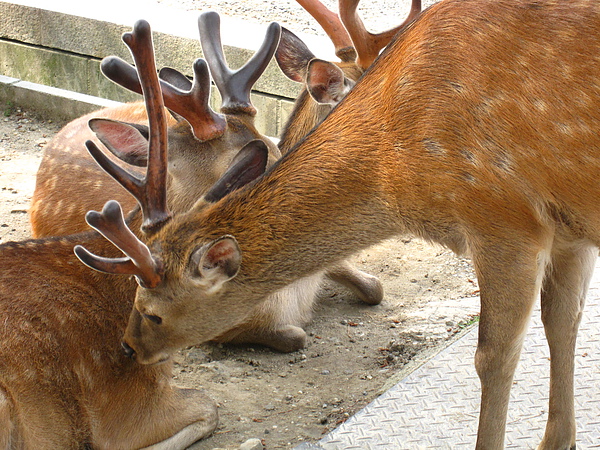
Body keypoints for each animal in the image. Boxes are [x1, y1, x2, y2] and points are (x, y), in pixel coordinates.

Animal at [77, 1, 600, 448]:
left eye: (152, 311)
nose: (127, 347)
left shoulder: (503, 218)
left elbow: (494, 357)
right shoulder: (568, 231)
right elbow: (562, 324)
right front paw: (559, 441)